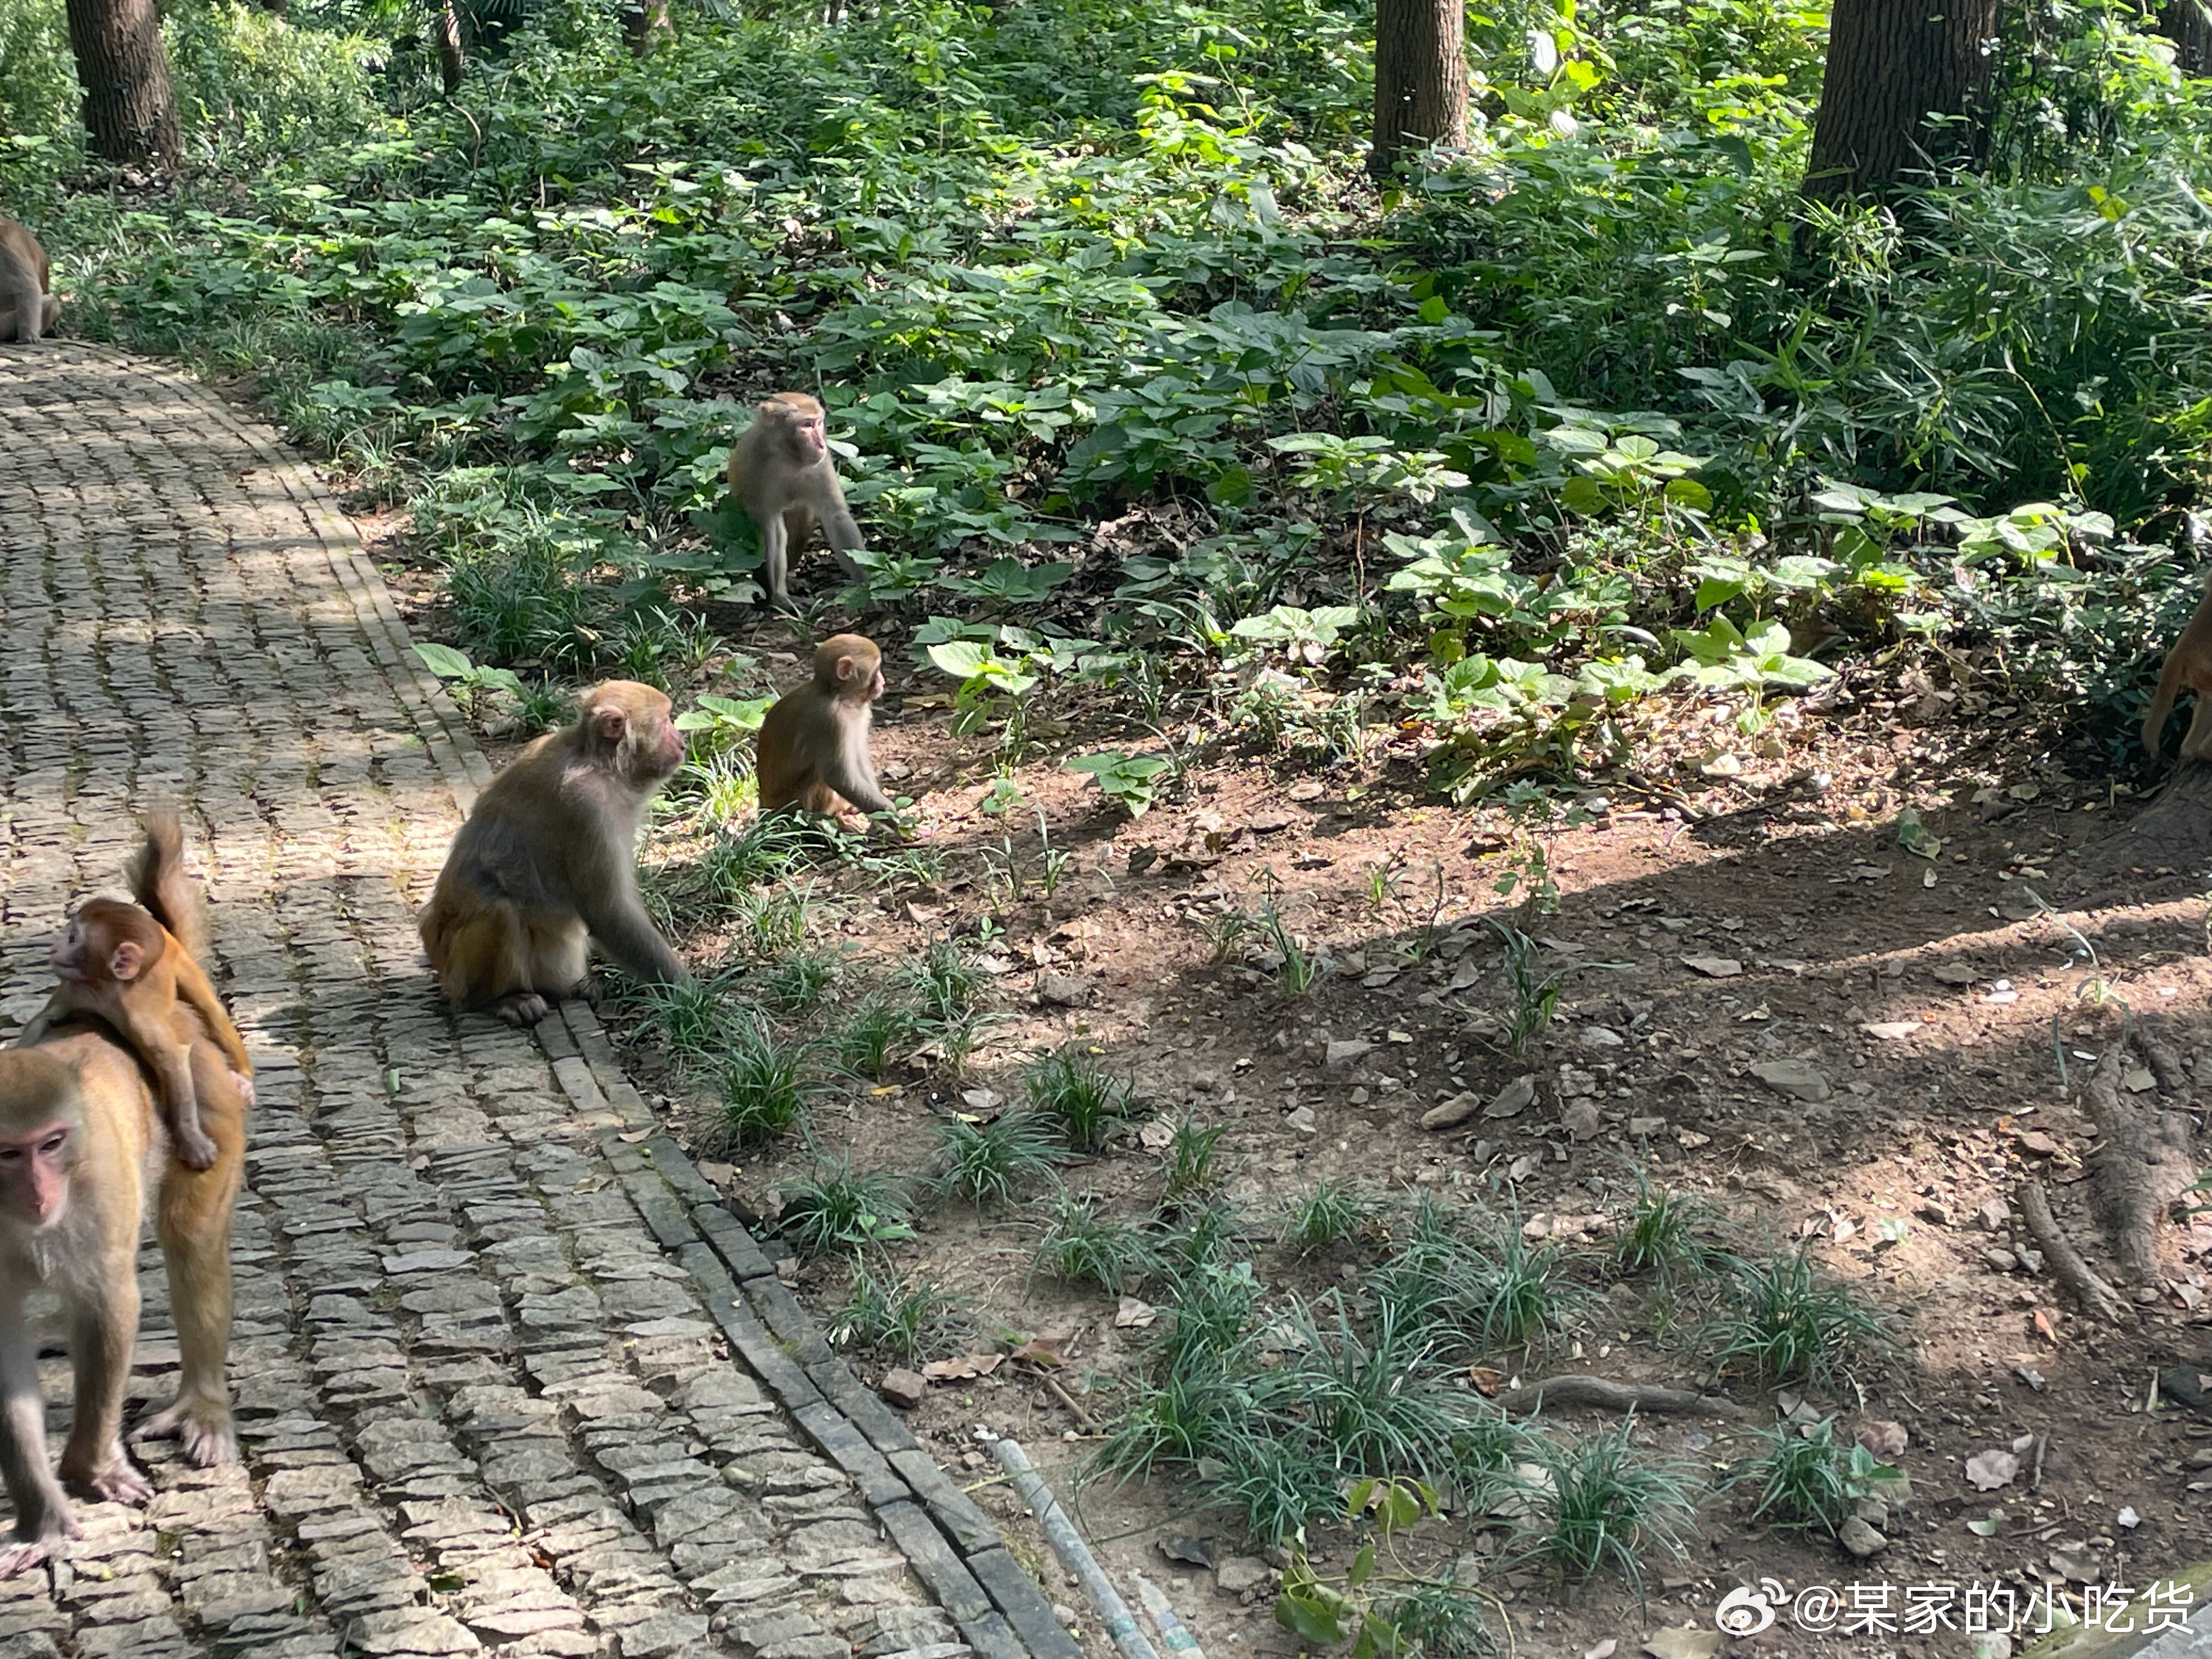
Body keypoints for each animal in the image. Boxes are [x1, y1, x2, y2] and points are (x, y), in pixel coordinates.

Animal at [0, 818, 244, 1583]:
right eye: (5, 1154)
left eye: (51, 1146)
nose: (39, 1191)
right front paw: (44, 1517)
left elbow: (110, 1303)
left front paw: (87, 1469)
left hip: (213, 1097)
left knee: (191, 1238)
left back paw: (201, 1403)